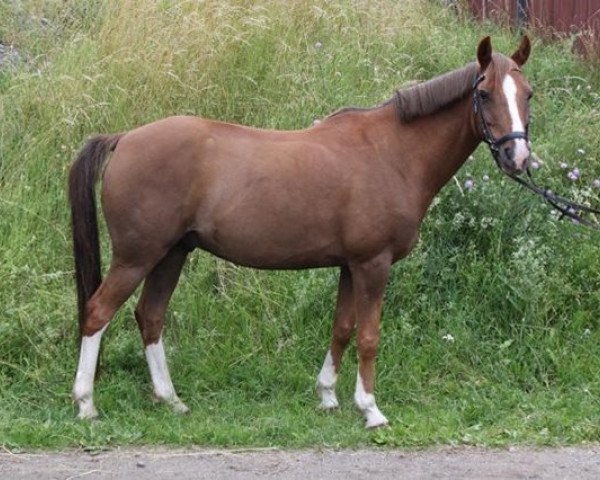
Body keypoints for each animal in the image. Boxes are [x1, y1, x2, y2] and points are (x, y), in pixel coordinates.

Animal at [70, 36, 536, 428]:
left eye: (528, 93)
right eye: (484, 93)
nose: (517, 157)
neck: (392, 153)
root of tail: (124, 138)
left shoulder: (350, 266)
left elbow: (342, 327)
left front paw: (328, 395)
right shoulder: (373, 264)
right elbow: (368, 336)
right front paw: (370, 409)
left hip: (171, 254)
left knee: (150, 317)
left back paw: (171, 400)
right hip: (137, 257)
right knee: (98, 313)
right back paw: (86, 404)